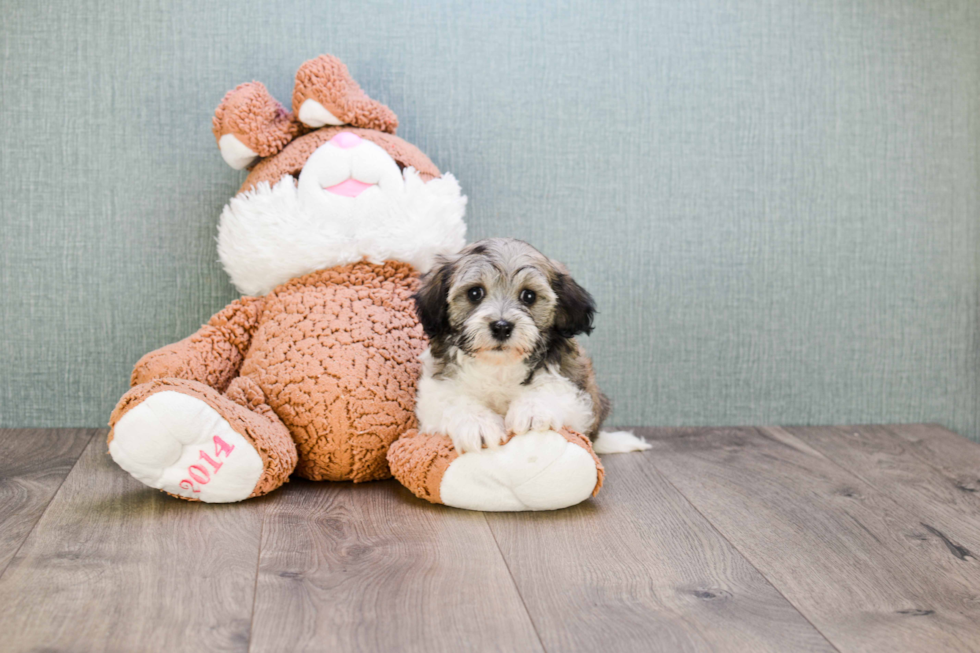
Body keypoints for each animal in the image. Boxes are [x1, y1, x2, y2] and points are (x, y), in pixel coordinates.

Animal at [410, 237, 648, 456]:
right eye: (475, 293)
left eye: (529, 296)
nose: (501, 327)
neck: (499, 365)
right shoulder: (435, 390)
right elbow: (451, 401)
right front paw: (477, 424)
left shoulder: (577, 392)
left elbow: (552, 389)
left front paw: (532, 412)